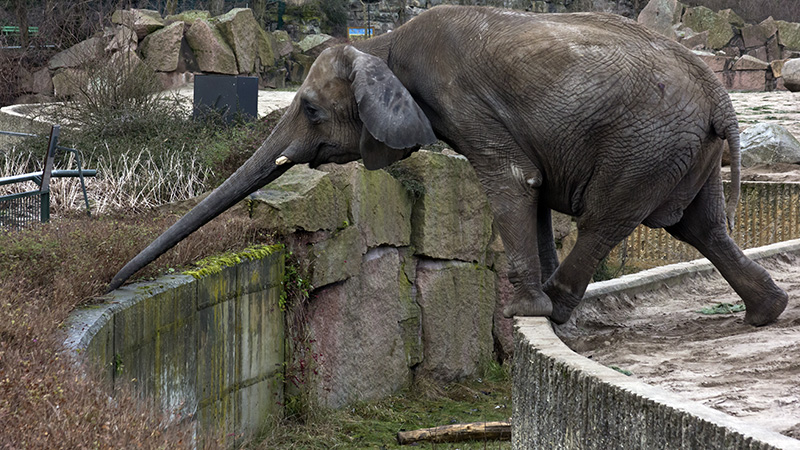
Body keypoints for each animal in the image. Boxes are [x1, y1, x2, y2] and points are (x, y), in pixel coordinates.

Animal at [106, 4, 788, 326]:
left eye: (310, 110)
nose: (109, 285)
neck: (380, 45)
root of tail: (719, 94)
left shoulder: (464, 104)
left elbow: (513, 182)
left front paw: (525, 314)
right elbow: (535, 194)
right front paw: (532, 304)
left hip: (644, 146)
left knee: (606, 220)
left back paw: (556, 307)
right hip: (682, 151)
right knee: (703, 228)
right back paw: (765, 312)